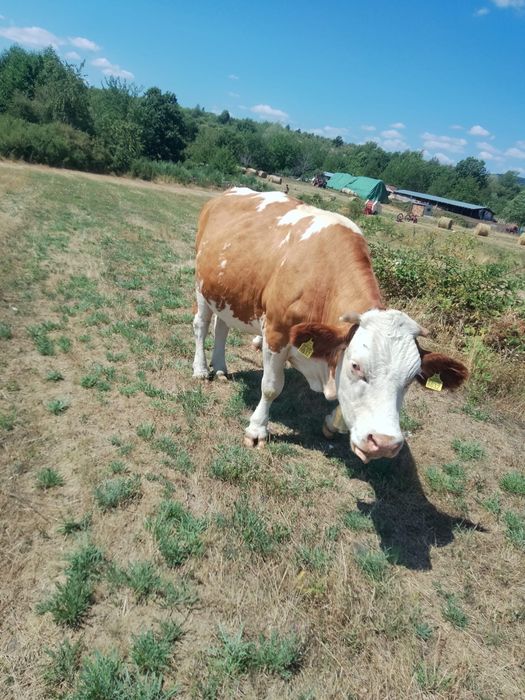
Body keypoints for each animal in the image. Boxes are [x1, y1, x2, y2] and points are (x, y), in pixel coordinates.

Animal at [192, 187, 468, 463]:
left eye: (411, 379)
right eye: (356, 366)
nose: (384, 443)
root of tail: (228, 192)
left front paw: (332, 423)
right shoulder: (276, 333)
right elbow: (271, 387)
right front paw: (257, 430)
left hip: (226, 291)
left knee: (221, 327)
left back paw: (220, 368)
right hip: (201, 285)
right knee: (201, 326)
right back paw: (201, 369)